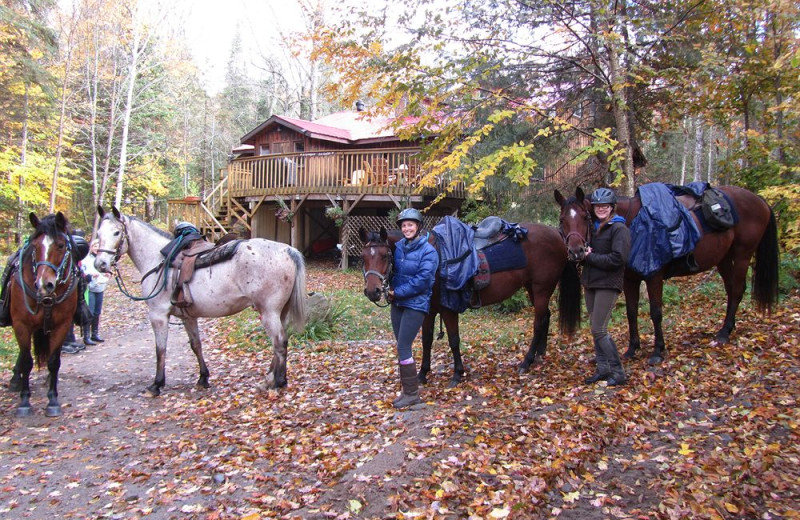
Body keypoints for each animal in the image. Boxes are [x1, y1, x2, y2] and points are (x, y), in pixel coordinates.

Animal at [93, 205, 306, 396]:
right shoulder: (187, 316)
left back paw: (277, 382)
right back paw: (269, 379)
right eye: (98, 233)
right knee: (279, 343)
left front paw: (156, 385)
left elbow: (160, 349)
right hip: (280, 312)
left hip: (268, 312)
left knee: (279, 342)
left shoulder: (158, 315)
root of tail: (288, 250)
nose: (100, 264)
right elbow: (196, 345)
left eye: (116, 232)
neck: (157, 260)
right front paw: (203, 378)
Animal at [358, 223, 580, 386]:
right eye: (363, 257)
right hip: (533, 288)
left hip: (542, 288)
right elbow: (427, 340)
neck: (432, 257)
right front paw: (422, 374)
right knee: (546, 317)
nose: (372, 291)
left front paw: (457, 374)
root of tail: (557, 234)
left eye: (385, 256)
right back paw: (539, 355)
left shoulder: (448, 309)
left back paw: (526, 362)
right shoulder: (429, 310)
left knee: (538, 323)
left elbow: (454, 340)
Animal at [552, 185, 780, 364]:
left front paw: (657, 351)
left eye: (585, 217)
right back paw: (726, 329)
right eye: (562, 219)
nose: (576, 251)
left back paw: (724, 334)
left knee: (738, 290)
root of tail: (759, 200)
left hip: (742, 255)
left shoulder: (654, 277)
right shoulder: (629, 280)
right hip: (724, 258)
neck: (631, 223)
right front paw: (632, 349)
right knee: (732, 290)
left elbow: (655, 313)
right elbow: (631, 313)